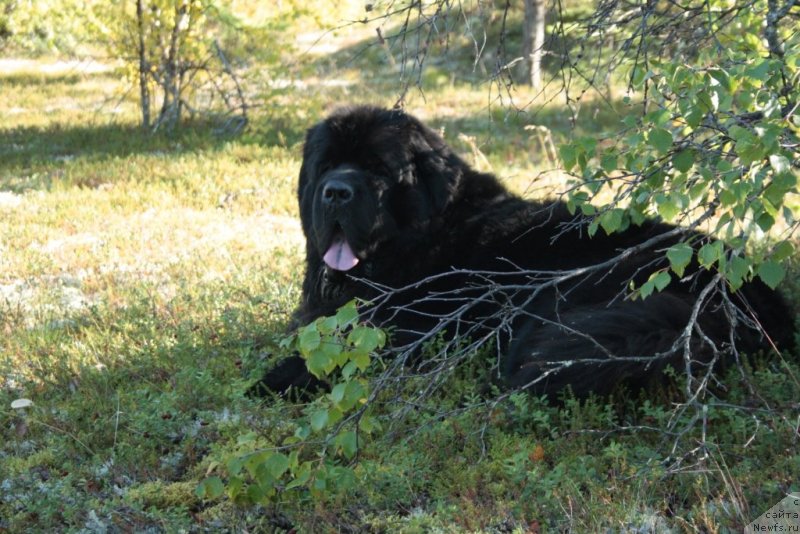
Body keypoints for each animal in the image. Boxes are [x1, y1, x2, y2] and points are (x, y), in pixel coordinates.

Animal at [256, 105, 792, 398]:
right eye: (326, 166)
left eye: (377, 170)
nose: (336, 193)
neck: (428, 234)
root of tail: (753, 294)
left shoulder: (407, 333)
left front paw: (271, 381)